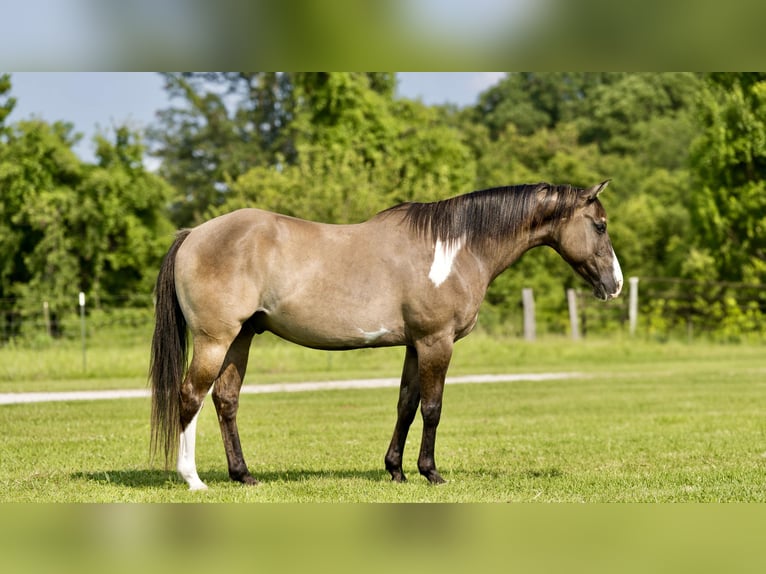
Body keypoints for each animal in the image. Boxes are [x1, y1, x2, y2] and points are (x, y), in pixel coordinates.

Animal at [148, 181, 624, 490]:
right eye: (599, 226)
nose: (615, 284)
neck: (453, 249)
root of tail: (193, 234)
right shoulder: (436, 342)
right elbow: (432, 408)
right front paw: (431, 472)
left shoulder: (415, 345)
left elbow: (406, 405)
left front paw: (396, 469)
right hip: (215, 339)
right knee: (190, 396)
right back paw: (193, 479)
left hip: (241, 338)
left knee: (225, 399)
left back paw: (244, 475)